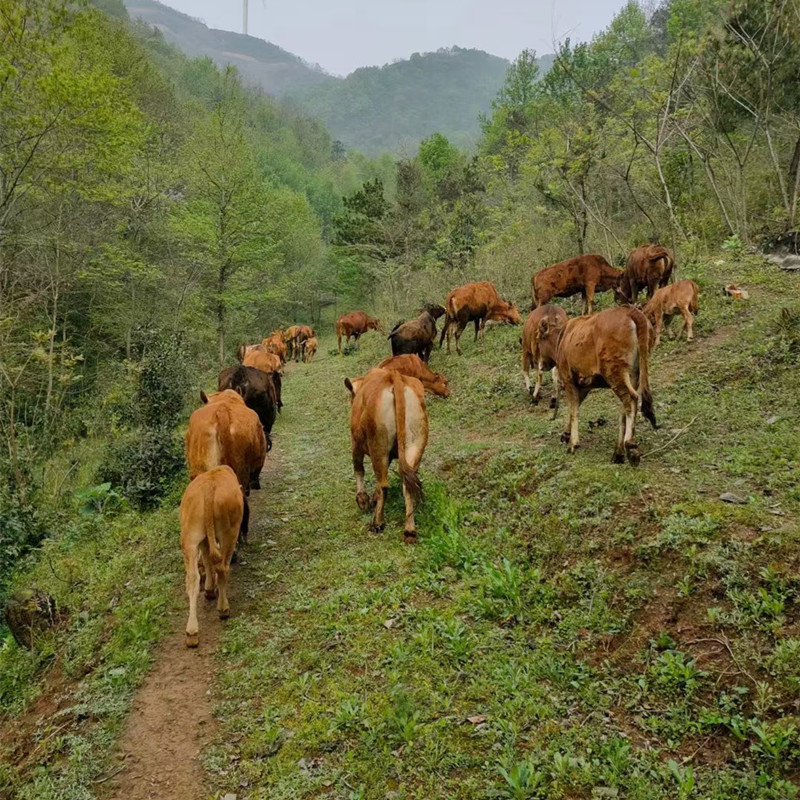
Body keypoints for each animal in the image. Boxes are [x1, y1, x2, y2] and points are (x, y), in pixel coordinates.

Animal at [181, 466, 244, 648]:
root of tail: (209, 487)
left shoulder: (202, 541)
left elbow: (207, 558)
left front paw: (209, 589)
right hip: (229, 533)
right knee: (222, 568)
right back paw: (223, 609)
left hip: (190, 538)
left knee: (192, 579)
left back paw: (192, 632)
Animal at [346, 368, 428, 544]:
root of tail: (393, 375)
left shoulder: (355, 445)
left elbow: (358, 469)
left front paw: (363, 500)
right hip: (415, 443)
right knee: (407, 485)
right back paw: (409, 531)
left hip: (378, 446)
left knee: (383, 484)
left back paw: (378, 523)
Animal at [556, 308, 656, 468]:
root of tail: (629, 310)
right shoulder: (584, 385)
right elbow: (575, 406)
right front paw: (567, 434)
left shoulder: (568, 378)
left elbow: (573, 410)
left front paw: (573, 443)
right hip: (634, 373)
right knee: (626, 408)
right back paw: (618, 452)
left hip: (614, 370)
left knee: (631, 398)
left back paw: (630, 446)